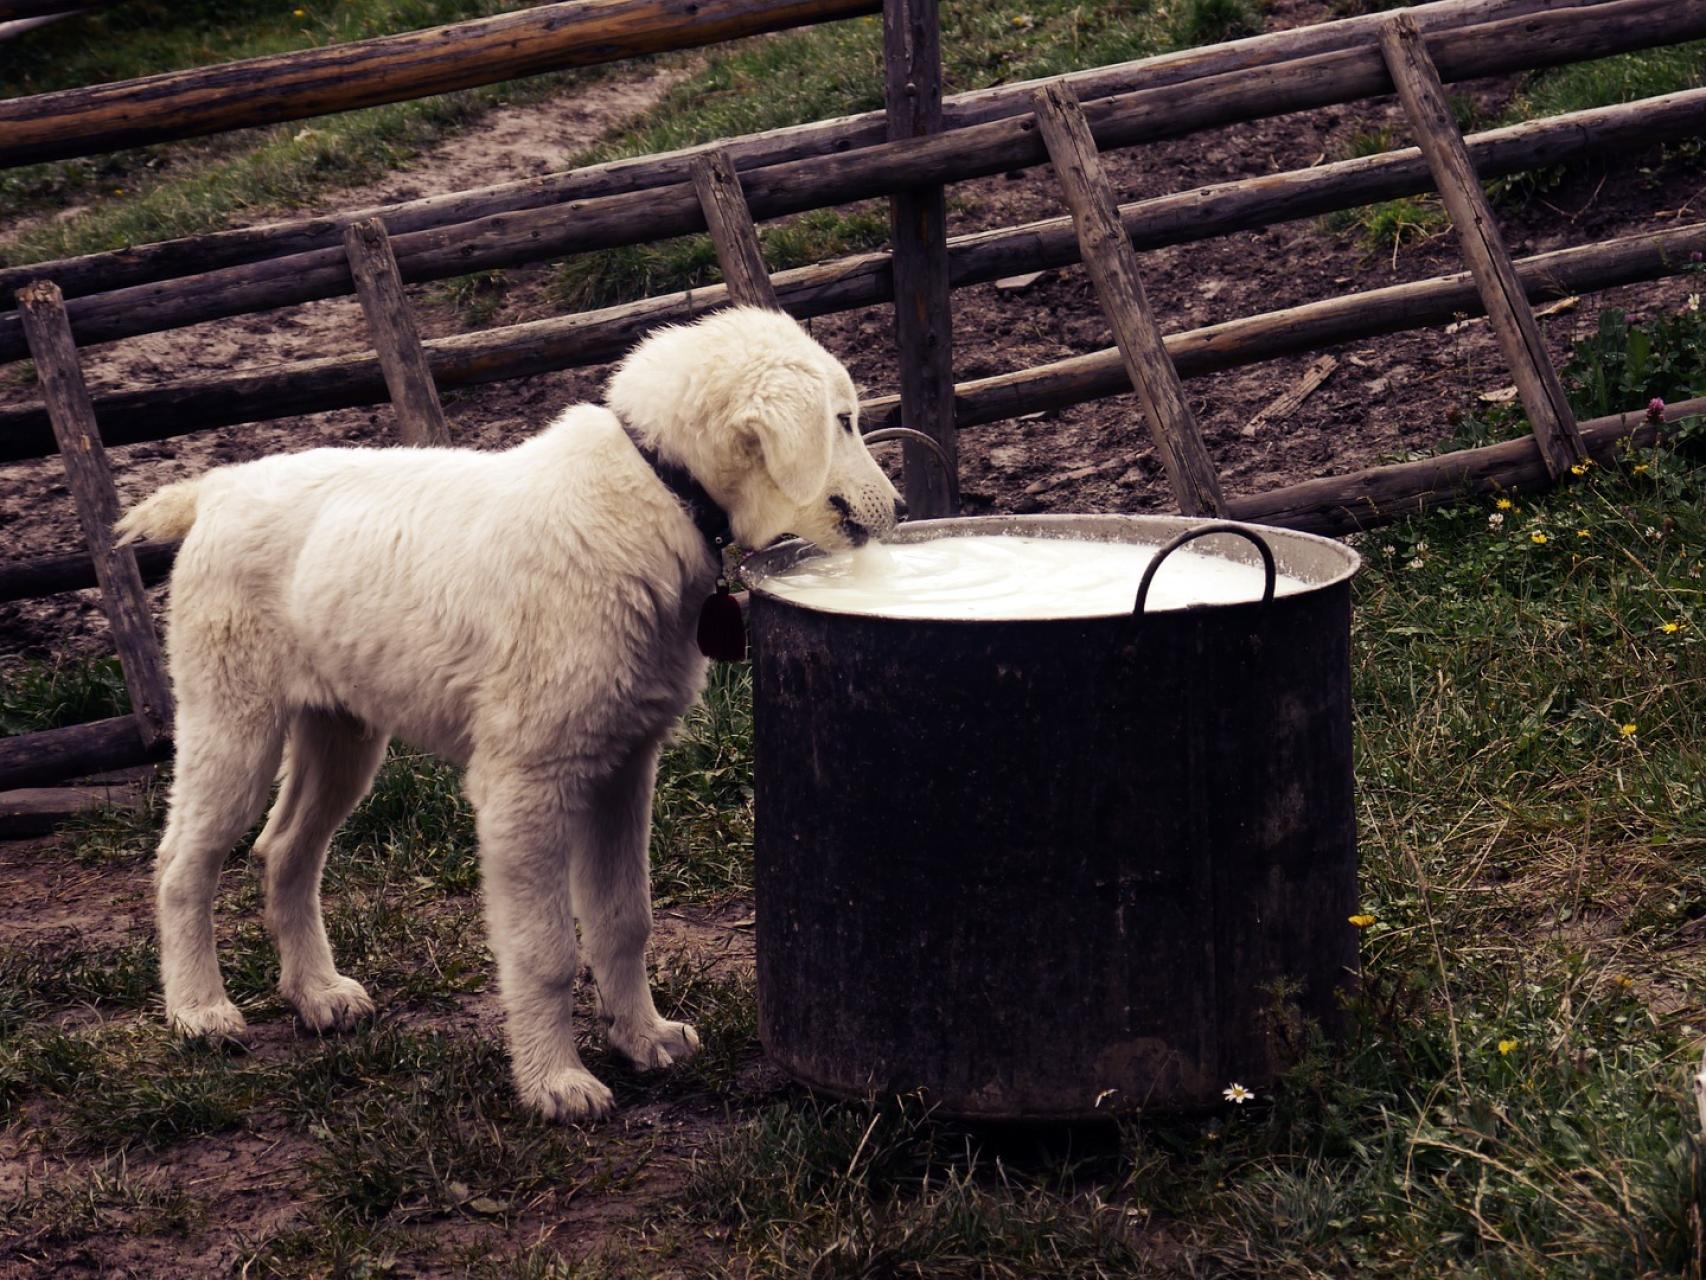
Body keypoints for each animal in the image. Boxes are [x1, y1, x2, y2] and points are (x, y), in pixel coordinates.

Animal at [113, 310, 900, 1119]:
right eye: (843, 421)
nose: (898, 510)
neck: (656, 490)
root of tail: (220, 485)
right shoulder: (527, 783)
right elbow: (546, 950)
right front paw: (555, 1082)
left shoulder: (626, 764)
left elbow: (624, 920)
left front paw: (642, 1038)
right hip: (231, 716)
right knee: (184, 861)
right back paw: (200, 1011)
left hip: (341, 731)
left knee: (284, 849)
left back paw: (317, 994)